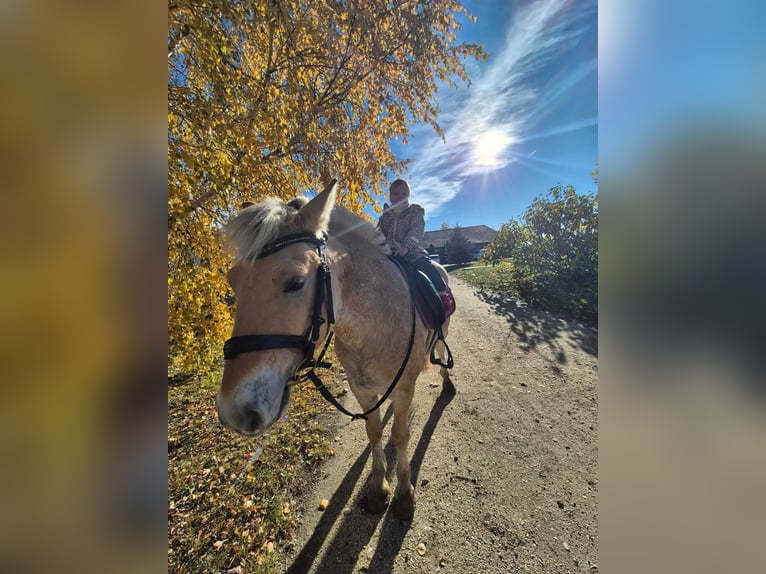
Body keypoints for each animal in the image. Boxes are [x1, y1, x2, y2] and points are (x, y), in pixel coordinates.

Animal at [215, 179, 454, 519]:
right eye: (233, 281)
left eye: (297, 282)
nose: (233, 411)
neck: (375, 325)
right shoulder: (361, 389)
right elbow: (375, 431)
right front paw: (378, 488)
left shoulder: (404, 387)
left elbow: (400, 436)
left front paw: (403, 494)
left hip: (443, 334)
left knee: (444, 358)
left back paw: (447, 385)